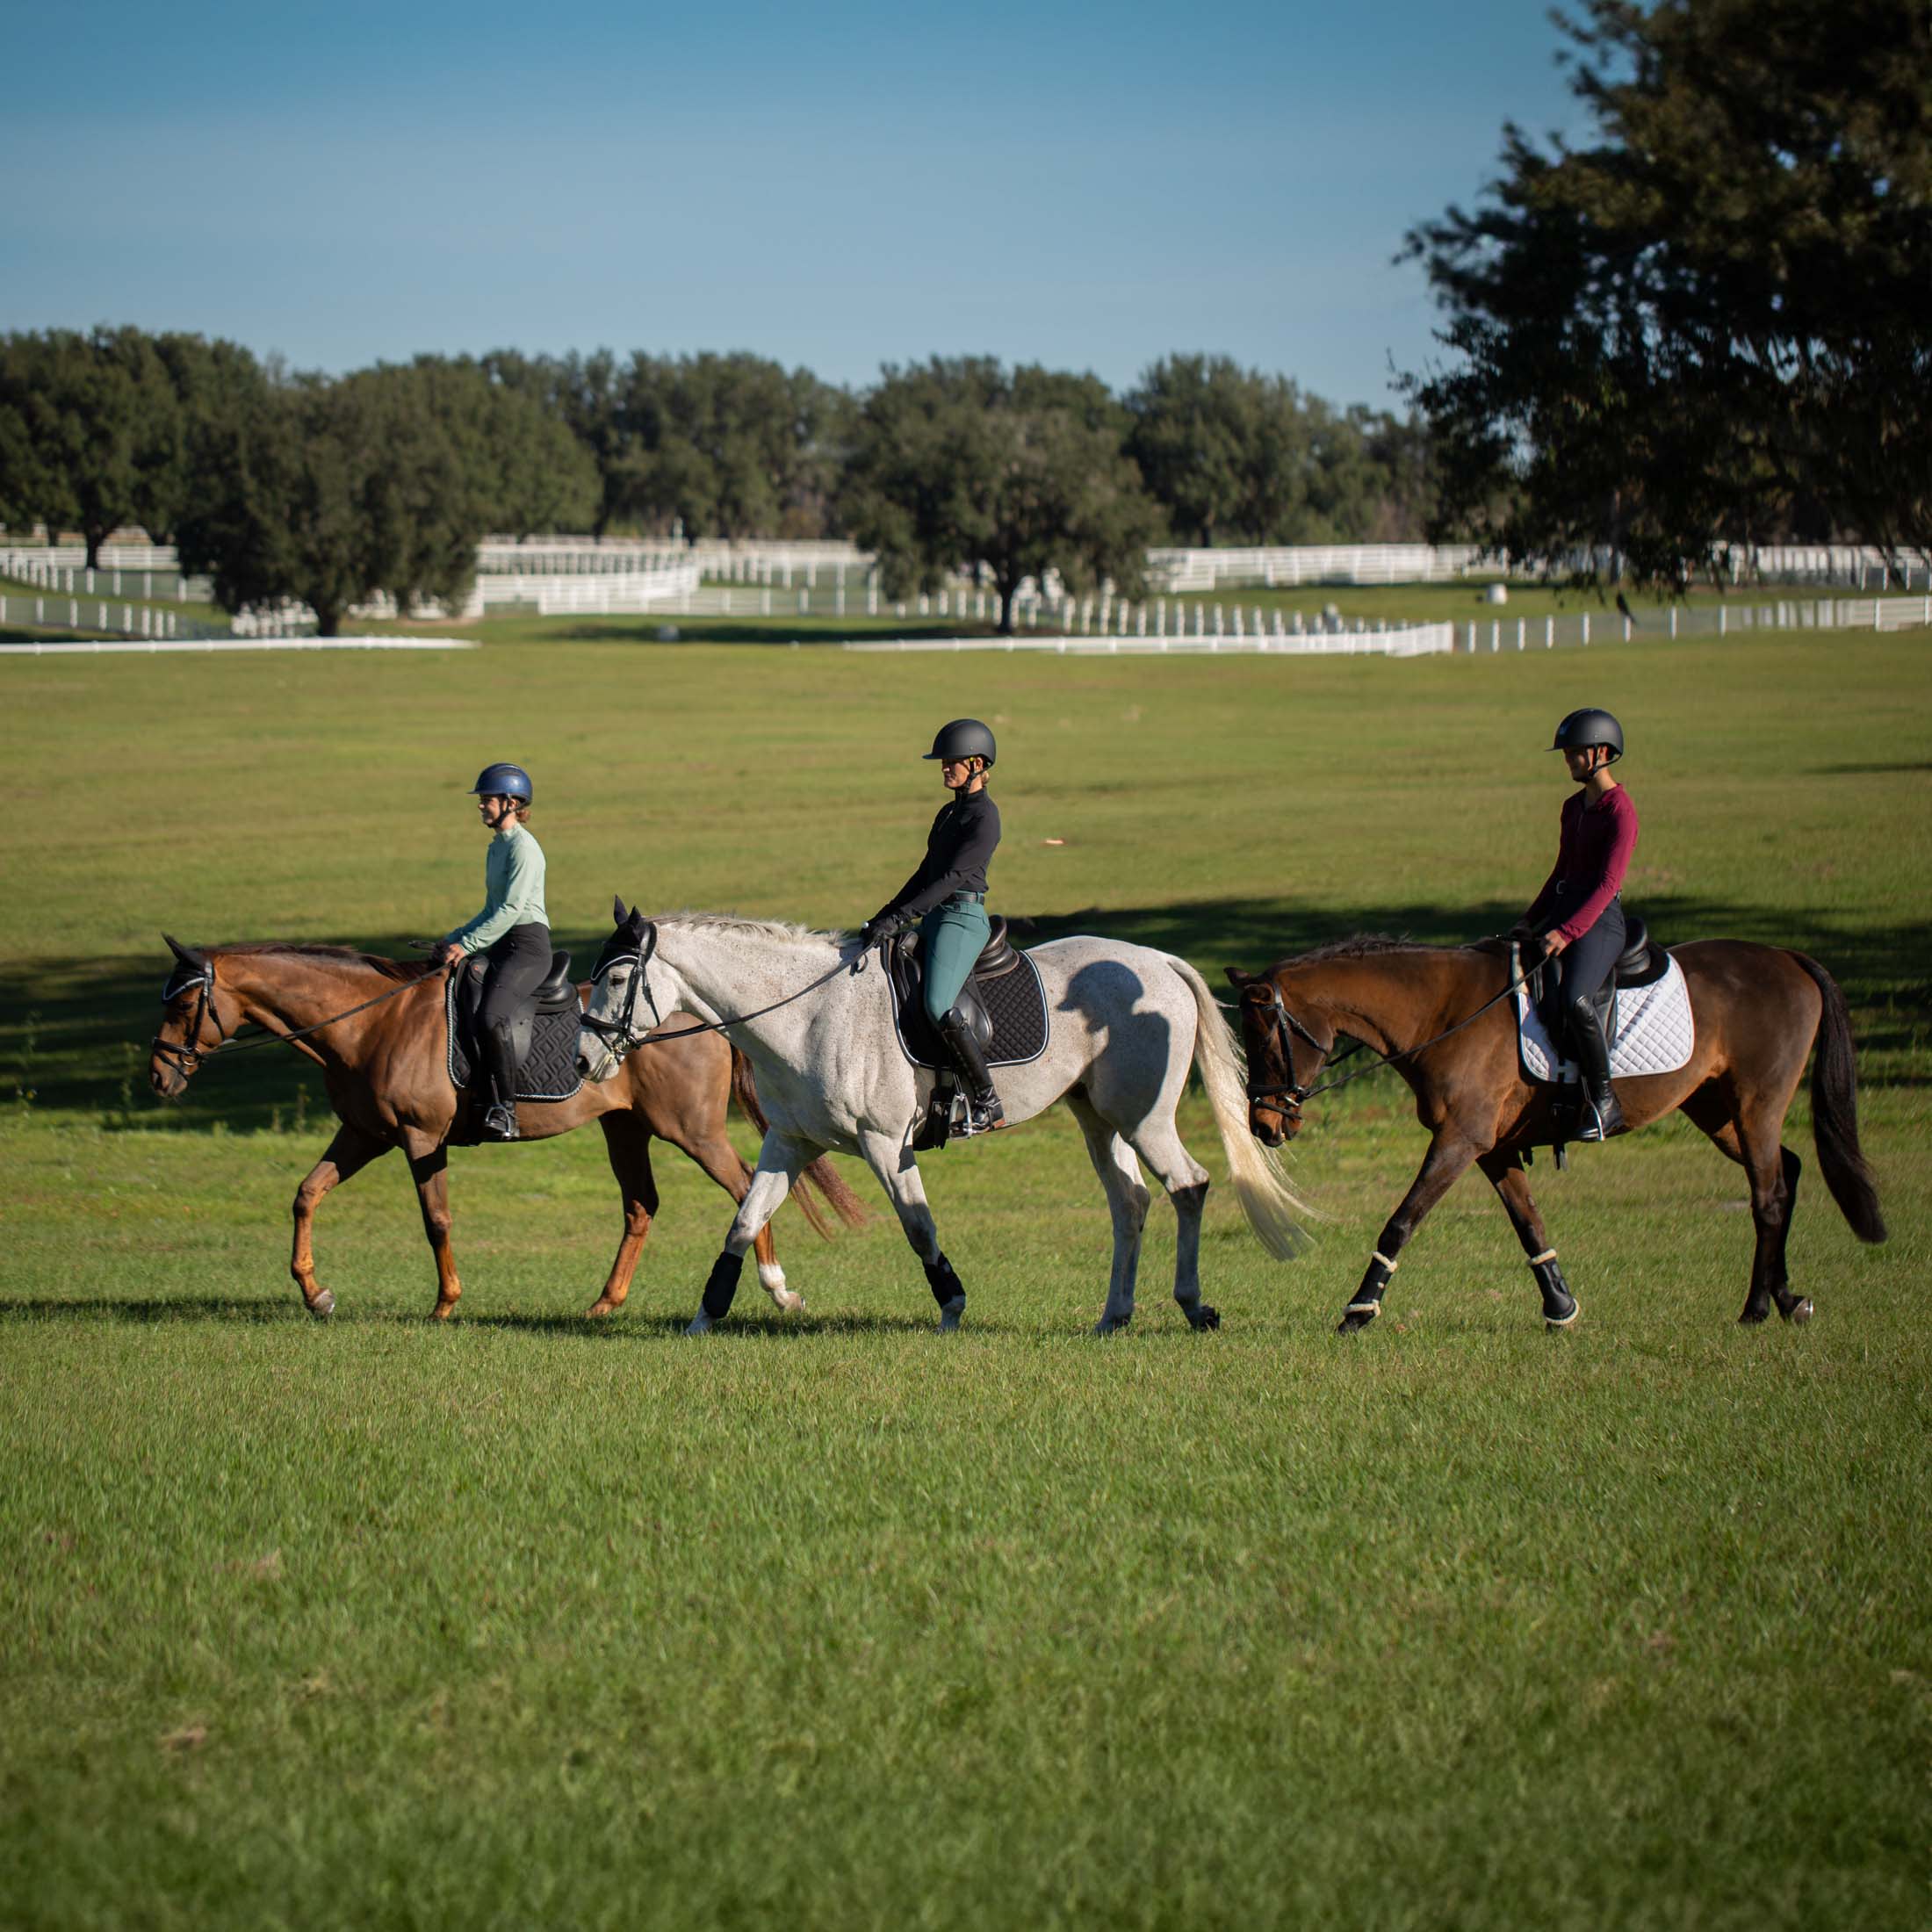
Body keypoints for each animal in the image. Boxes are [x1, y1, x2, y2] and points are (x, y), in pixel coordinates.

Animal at [150, 939, 869, 1329]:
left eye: (184, 1003)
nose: (159, 1076)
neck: (370, 1022)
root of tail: (702, 1014)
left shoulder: (419, 1138)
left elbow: (435, 1219)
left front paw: (444, 1304)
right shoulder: (363, 1133)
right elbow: (306, 1194)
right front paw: (316, 1294)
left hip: (687, 1130)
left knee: (747, 1187)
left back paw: (777, 1291)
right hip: (625, 1128)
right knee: (641, 1206)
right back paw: (604, 1304)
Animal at [572, 900, 1314, 1329]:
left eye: (618, 978)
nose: (582, 1061)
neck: (806, 1014)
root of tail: (1157, 960)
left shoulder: (883, 1144)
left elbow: (918, 1228)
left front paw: (952, 1305)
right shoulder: (790, 1142)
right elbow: (743, 1223)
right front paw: (706, 1316)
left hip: (1144, 1117)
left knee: (1188, 1187)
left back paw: (1192, 1306)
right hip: (1098, 1118)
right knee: (1130, 1203)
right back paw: (1114, 1315)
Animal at [1221, 939, 1885, 1337]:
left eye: (1264, 1039)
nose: (1264, 1126)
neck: (1443, 1013)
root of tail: (1788, 958)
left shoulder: (1460, 1139)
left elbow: (1401, 1221)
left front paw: (1360, 1310)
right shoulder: (1492, 1148)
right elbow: (1529, 1225)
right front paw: (1560, 1308)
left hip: (1755, 1103)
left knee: (1768, 1194)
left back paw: (1755, 1308)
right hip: (1717, 1110)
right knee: (1786, 1172)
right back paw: (1786, 1298)